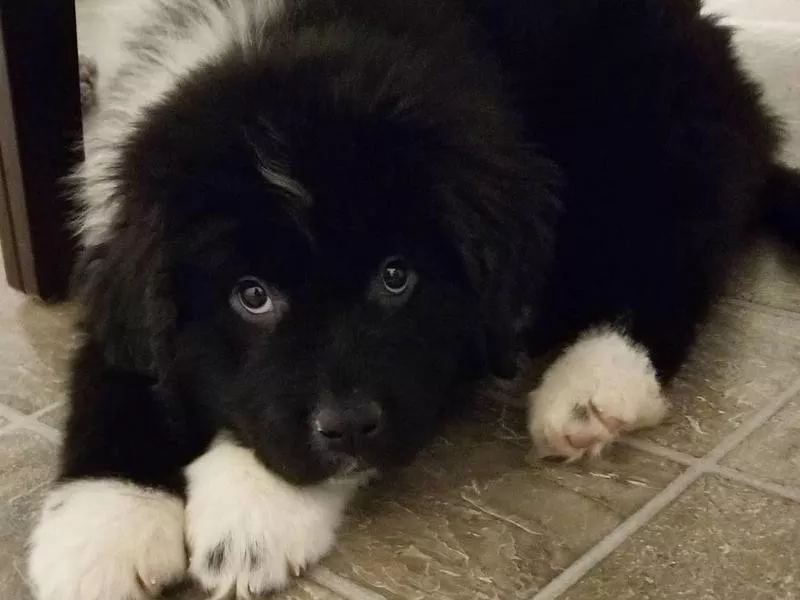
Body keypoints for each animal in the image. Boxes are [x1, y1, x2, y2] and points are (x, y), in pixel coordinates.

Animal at [28, 0, 796, 596]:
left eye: (396, 277)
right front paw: (99, 533)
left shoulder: (466, 334)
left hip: (649, 137)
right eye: (252, 296)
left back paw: (594, 384)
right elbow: (119, 372)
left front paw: (250, 515)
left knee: (672, 260)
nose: (345, 426)